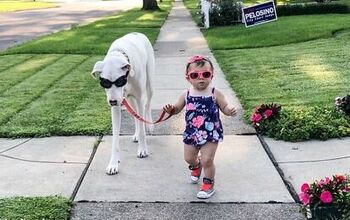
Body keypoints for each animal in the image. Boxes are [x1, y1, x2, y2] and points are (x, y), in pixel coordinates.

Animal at [91, 32, 154, 174]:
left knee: (147, 105)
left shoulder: (139, 98)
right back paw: (136, 134)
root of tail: (137, 33)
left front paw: (143, 149)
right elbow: (115, 138)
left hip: (149, 84)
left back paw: (150, 126)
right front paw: (113, 163)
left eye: (119, 81)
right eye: (105, 83)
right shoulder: (116, 105)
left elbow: (142, 124)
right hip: (129, 99)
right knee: (136, 115)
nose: (113, 101)